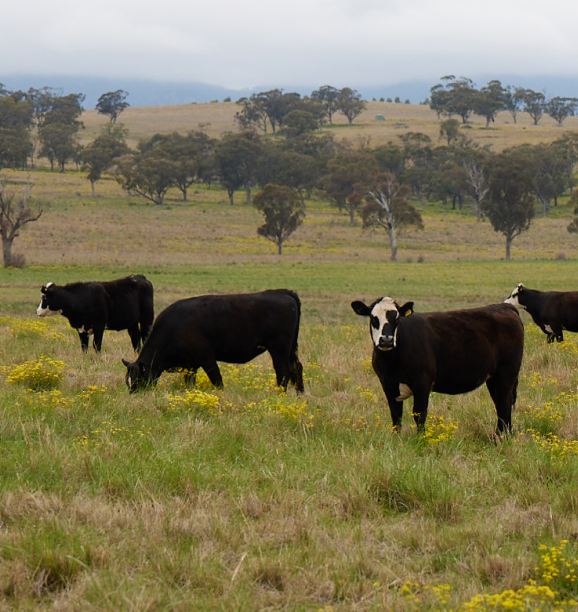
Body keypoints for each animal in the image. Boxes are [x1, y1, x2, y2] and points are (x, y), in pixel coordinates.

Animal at [120, 290, 302, 394]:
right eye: (127, 381)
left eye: (138, 380)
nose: (134, 395)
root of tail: (283, 293)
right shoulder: (190, 366)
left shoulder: (207, 358)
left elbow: (217, 380)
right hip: (290, 349)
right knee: (296, 367)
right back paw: (300, 394)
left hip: (279, 349)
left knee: (283, 371)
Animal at [352, 298, 520, 436]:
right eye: (373, 318)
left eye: (397, 318)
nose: (386, 340)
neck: (391, 363)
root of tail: (506, 307)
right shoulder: (388, 385)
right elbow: (396, 416)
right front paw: (397, 439)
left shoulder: (422, 382)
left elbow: (419, 413)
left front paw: (421, 440)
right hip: (493, 378)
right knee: (500, 405)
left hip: (507, 374)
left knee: (504, 404)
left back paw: (500, 438)